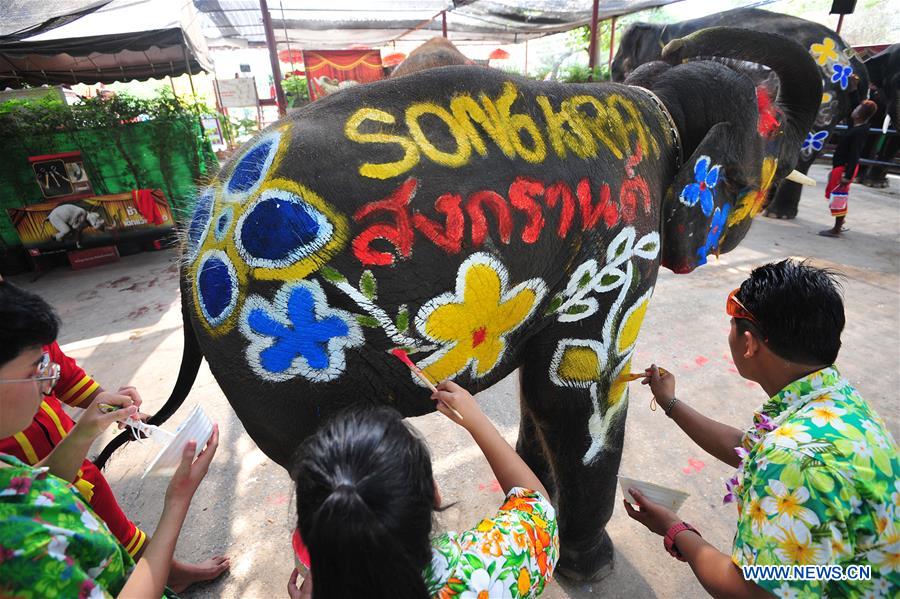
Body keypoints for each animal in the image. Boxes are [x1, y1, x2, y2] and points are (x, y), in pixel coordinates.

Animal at [95, 27, 820, 580]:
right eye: (771, 147)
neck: (660, 101)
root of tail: (196, 230)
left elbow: (540, 383)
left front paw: (537, 491)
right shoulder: (621, 233)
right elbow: (582, 392)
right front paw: (591, 564)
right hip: (278, 369)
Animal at [608, 7, 868, 220]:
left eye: (619, 69)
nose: (674, 49)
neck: (661, 28)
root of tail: (854, 60)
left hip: (828, 102)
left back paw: (776, 214)